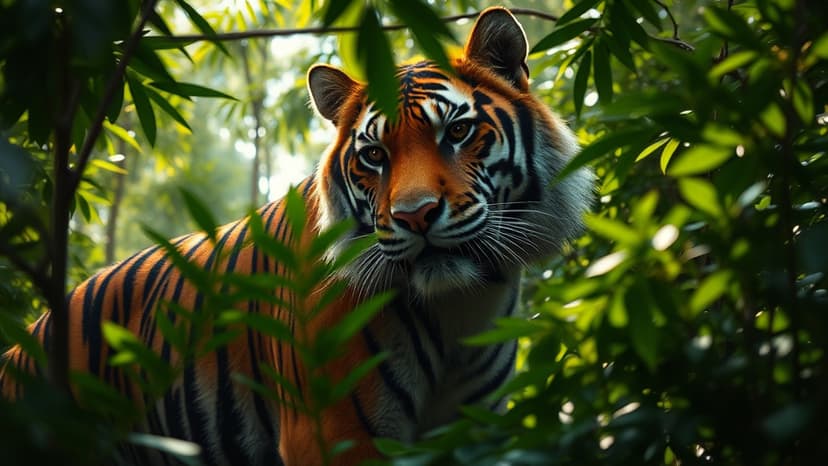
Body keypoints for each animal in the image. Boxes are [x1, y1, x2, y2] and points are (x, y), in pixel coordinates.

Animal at [0, 7, 592, 466]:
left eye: (459, 131)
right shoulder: (332, 433)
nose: (416, 216)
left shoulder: (472, 429)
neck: (459, 309)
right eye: (374, 155)